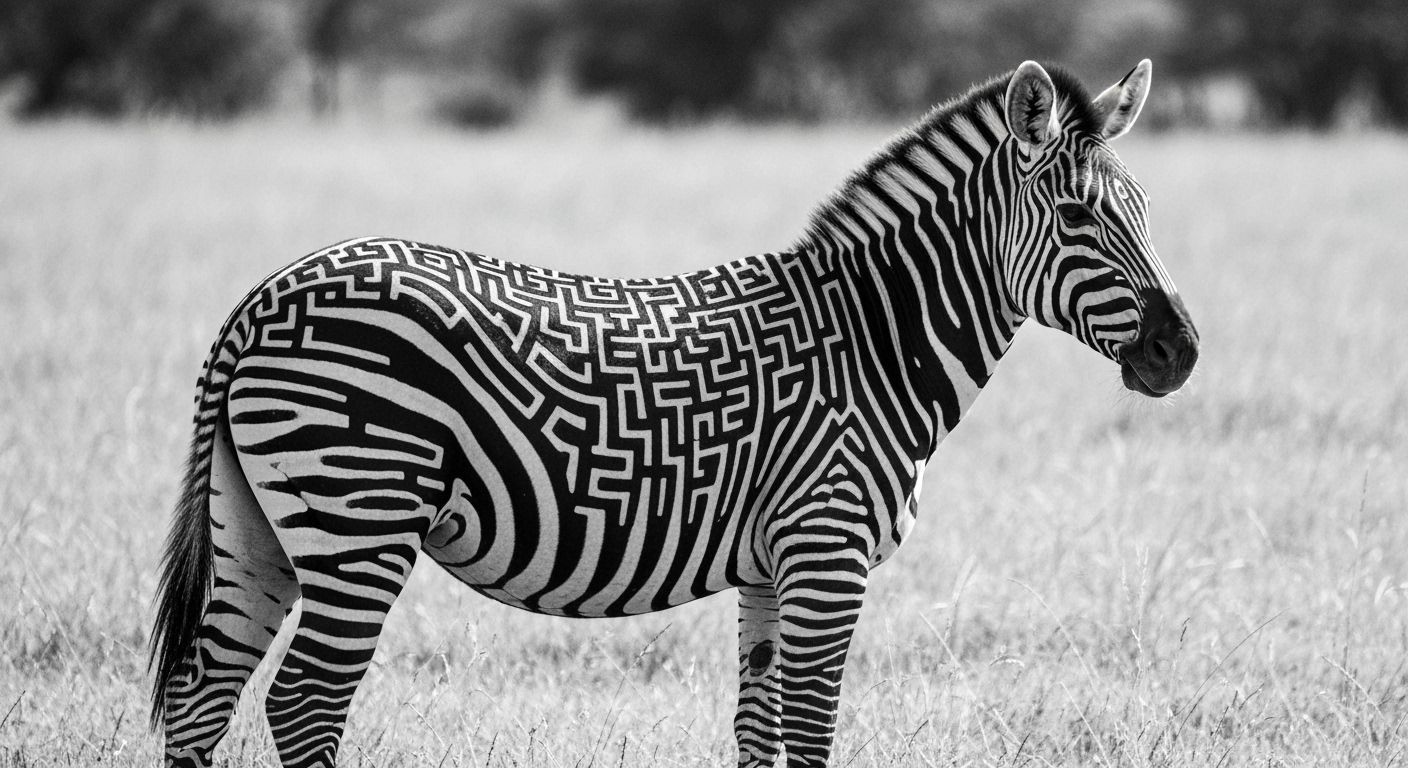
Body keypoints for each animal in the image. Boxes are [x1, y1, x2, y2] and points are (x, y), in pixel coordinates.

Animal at [149, 59, 1198, 767]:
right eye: (1076, 218)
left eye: (1147, 212)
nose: (1180, 352)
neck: (873, 343)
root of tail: (261, 299)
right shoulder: (828, 552)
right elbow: (810, 731)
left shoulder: (771, 568)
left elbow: (759, 731)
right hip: (357, 511)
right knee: (304, 702)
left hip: (259, 523)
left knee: (206, 696)